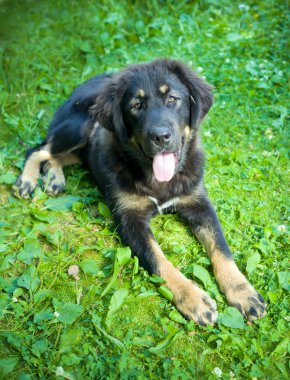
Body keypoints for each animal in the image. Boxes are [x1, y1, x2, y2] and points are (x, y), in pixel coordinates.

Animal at [14, 58, 268, 326]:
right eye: (136, 105)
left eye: (173, 99)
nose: (161, 136)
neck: (159, 180)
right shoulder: (130, 221)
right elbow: (160, 260)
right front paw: (193, 299)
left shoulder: (200, 203)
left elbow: (222, 248)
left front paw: (243, 293)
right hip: (80, 128)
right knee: (38, 149)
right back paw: (27, 181)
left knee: (54, 156)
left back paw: (54, 178)